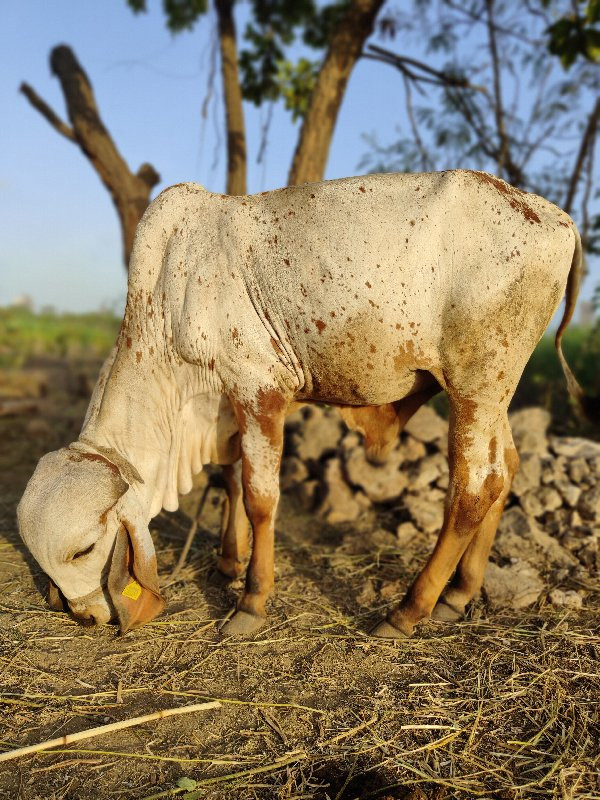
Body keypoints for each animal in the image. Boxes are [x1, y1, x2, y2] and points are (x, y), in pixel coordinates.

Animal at [17, 169, 592, 636]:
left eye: (83, 550)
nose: (87, 617)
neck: (168, 301)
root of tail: (558, 219)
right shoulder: (228, 402)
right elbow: (228, 476)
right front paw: (228, 563)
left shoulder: (259, 388)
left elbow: (260, 496)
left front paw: (251, 600)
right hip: (494, 393)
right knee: (507, 469)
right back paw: (459, 593)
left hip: (476, 385)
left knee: (476, 487)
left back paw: (408, 610)